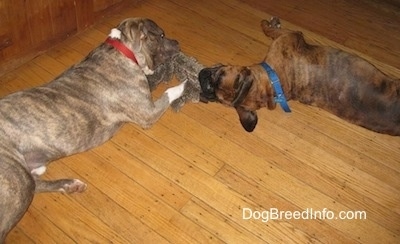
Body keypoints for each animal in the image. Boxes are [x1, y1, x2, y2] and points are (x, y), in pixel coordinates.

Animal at [0, 18, 184, 241]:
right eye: (162, 35)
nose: (178, 43)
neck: (122, 50)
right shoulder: (147, 113)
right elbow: (169, 92)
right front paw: (186, 84)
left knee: (37, 184)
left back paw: (69, 185)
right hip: (17, 180)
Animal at [200, 17, 400, 135]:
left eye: (220, 74)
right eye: (216, 98)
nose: (203, 81)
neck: (275, 85)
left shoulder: (289, 35)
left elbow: (269, 30)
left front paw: (268, 23)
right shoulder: (290, 35)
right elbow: (271, 29)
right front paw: (270, 23)